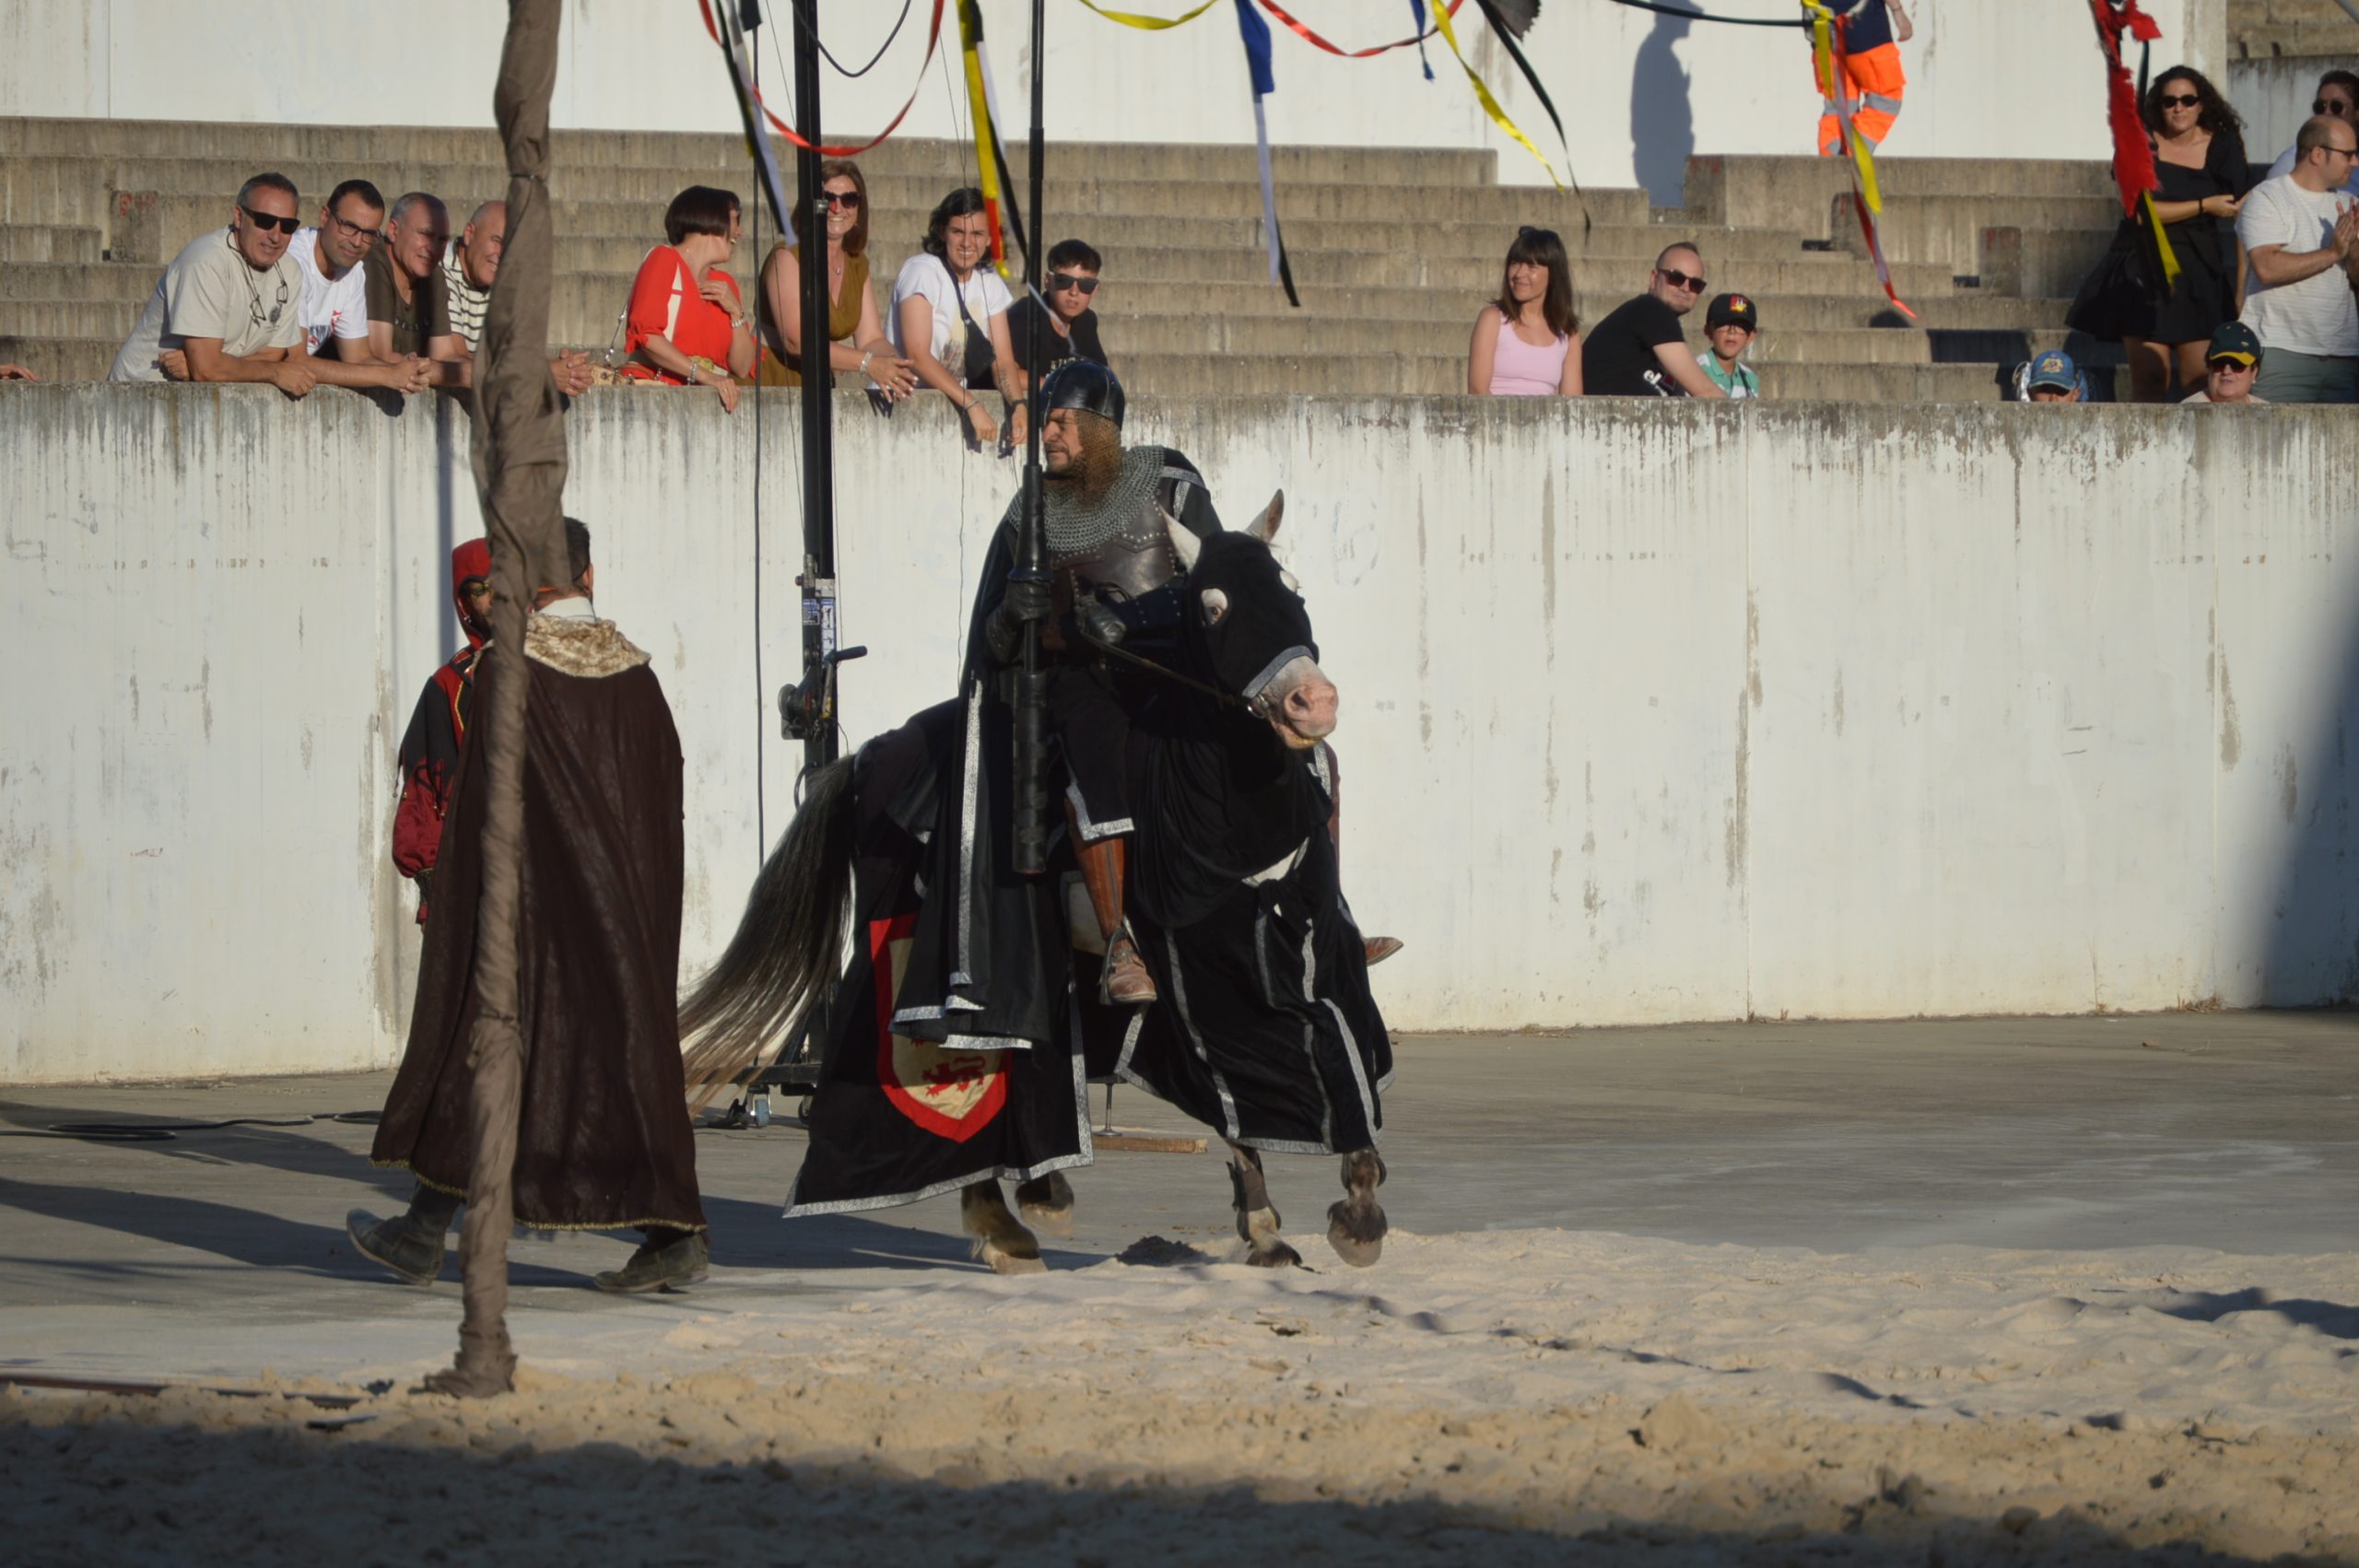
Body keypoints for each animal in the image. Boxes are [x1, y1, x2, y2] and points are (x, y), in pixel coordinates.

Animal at [675, 497, 1387, 1273]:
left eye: (1293, 591)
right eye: (1215, 606)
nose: (1312, 704)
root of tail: (863, 757)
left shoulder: (1295, 953)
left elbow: (1326, 1060)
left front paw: (1323, 1213)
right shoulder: (1196, 970)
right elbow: (1250, 1075)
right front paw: (1319, 1220)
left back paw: (1032, 1199)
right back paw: (1007, 1217)